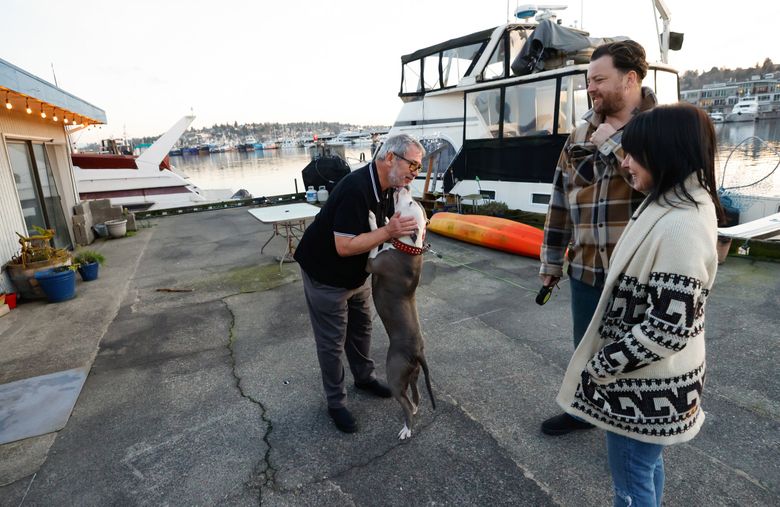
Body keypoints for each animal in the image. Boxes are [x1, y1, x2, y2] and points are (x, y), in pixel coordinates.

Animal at [368, 186, 436, 440]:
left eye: (409, 204)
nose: (405, 187)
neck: (409, 247)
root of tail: (418, 353)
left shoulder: (372, 263)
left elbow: (371, 242)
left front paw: (372, 219)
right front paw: (386, 222)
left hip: (395, 373)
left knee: (404, 401)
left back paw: (407, 428)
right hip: (412, 373)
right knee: (415, 393)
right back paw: (415, 409)